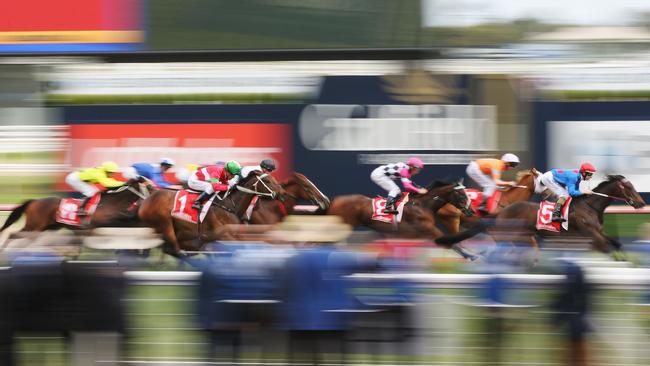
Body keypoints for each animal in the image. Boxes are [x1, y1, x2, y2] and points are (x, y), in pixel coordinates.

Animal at [0, 178, 154, 234]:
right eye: (150, 187)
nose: (157, 194)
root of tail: (34, 201)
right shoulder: (100, 225)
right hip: (33, 226)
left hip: (47, 227)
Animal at [139, 171, 284, 254]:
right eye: (267, 181)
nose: (282, 193)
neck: (228, 205)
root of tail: (150, 196)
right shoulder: (223, 235)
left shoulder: (237, 234)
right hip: (164, 222)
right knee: (173, 244)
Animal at [436, 174, 644, 254]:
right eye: (629, 188)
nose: (641, 203)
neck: (590, 206)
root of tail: (501, 213)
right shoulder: (590, 233)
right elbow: (607, 247)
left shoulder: (598, 232)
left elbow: (615, 243)